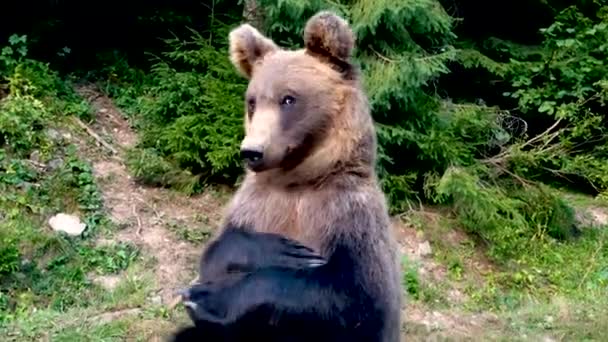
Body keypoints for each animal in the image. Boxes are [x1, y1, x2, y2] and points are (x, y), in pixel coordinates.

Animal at [171, 9, 404, 340]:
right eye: (252, 101)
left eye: (289, 98)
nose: (252, 151)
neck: (296, 180)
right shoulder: (253, 206)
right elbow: (216, 254)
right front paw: (280, 250)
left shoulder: (346, 215)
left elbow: (354, 296)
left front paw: (208, 300)